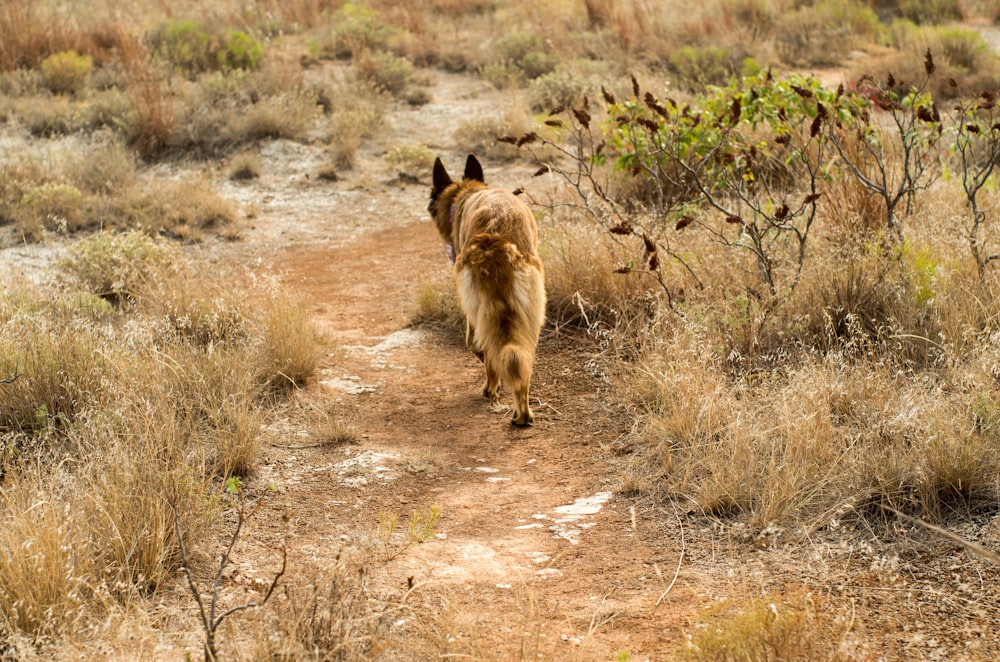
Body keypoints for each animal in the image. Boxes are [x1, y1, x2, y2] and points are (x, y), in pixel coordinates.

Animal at [424, 154, 544, 428]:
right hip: (529, 316)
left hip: (481, 308)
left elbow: (474, 345)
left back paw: (493, 390)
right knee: (521, 359)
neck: (468, 193)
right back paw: (523, 414)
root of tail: (496, 238)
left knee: (491, 349)